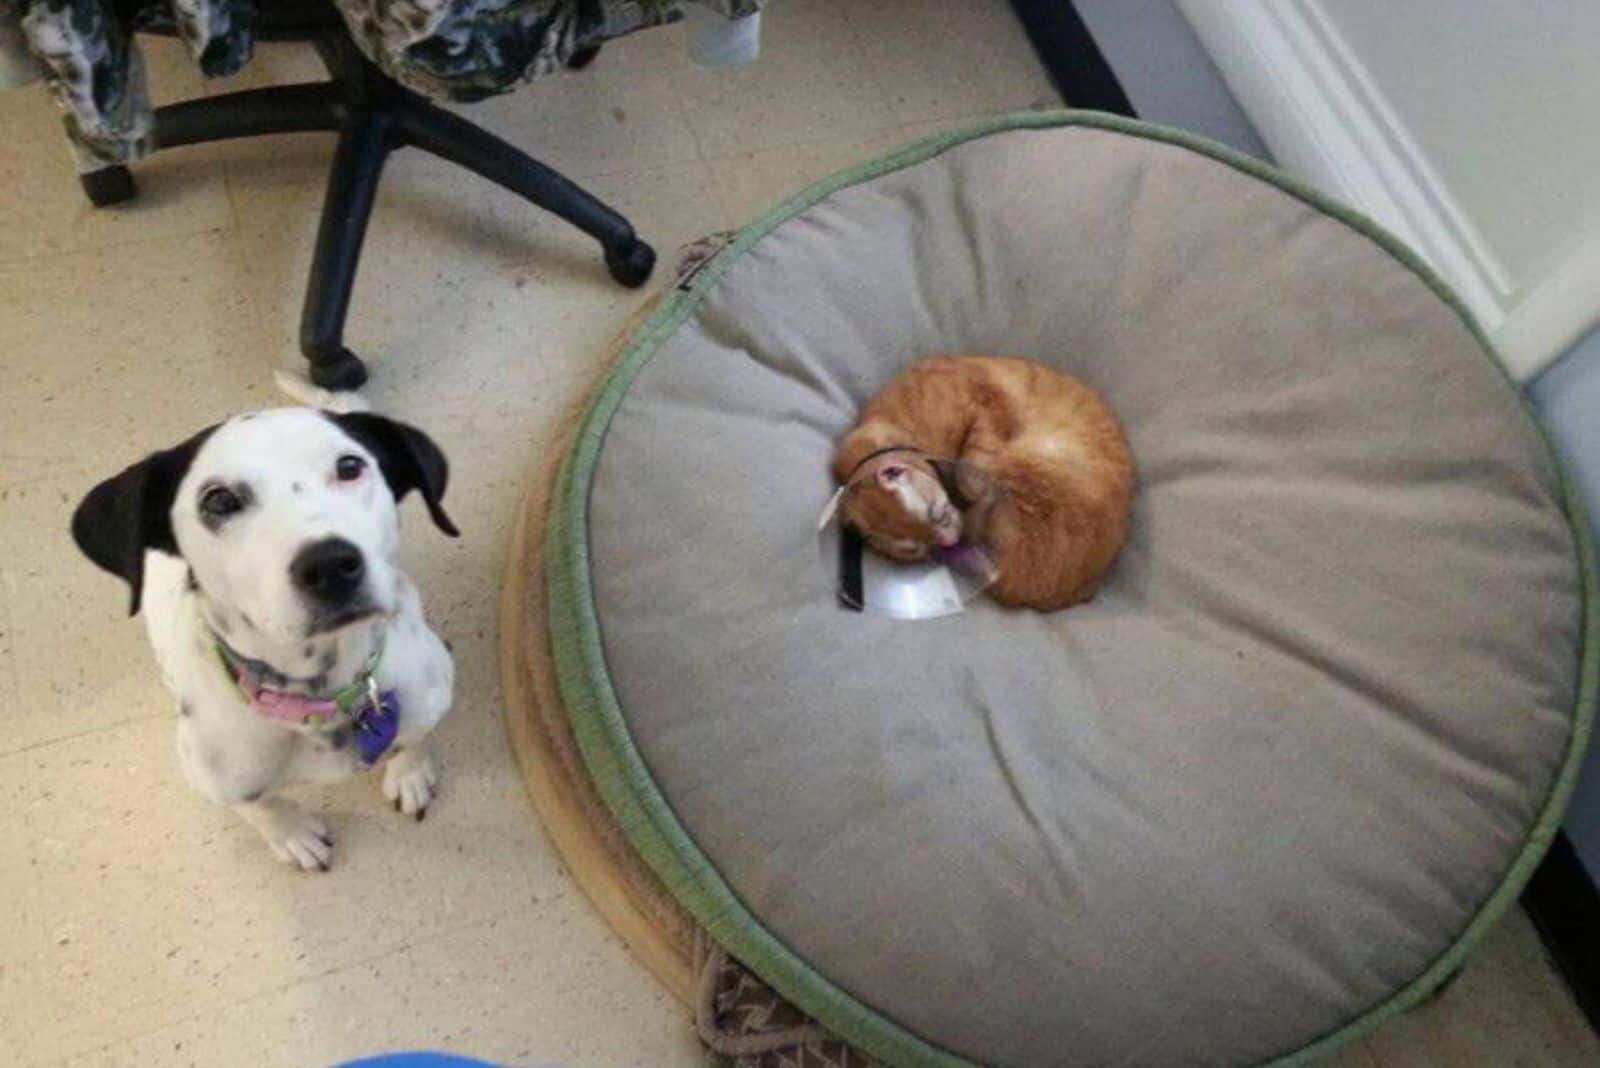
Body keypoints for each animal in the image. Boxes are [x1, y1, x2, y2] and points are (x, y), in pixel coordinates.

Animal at [77, 406, 460, 869]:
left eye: (350, 466)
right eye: (219, 499)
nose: (330, 564)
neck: (322, 701)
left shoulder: (426, 700)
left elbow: (414, 738)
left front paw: (410, 773)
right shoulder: (220, 778)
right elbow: (259, 805)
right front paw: (292, 835)